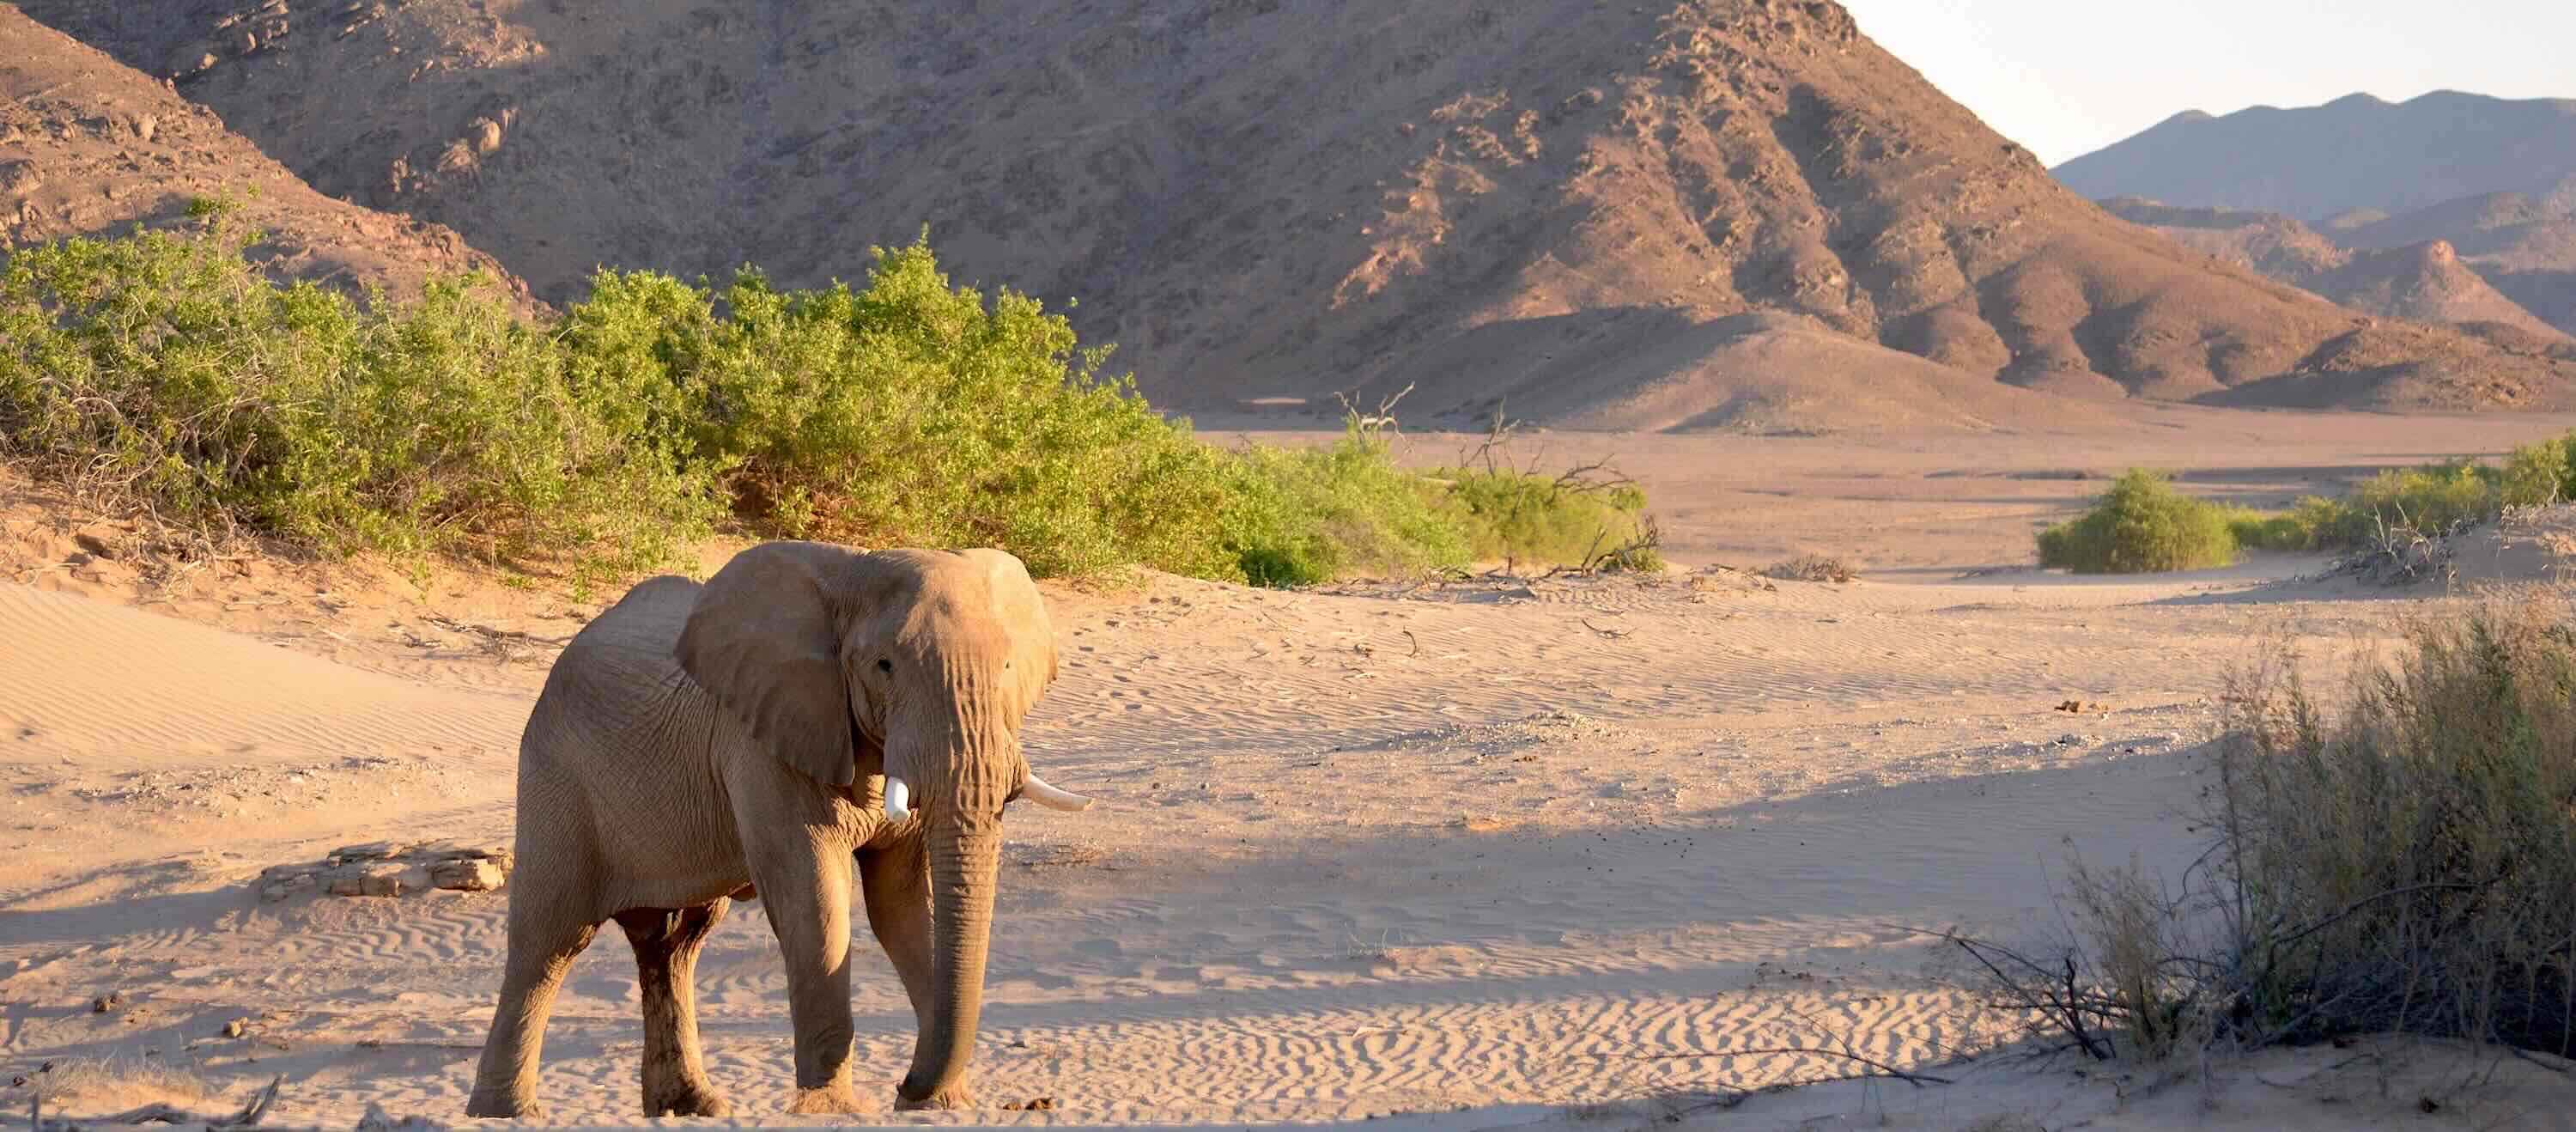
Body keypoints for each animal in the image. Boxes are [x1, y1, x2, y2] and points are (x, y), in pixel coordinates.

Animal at [463, 541, 1092, 1119]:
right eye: (884, 667)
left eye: (1007, 667)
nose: (906, 1086)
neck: (855, 571)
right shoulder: (761, 741)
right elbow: (815, 900)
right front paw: (833, 1110)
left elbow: (902, 905)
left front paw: (944, 1103)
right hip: (556, 776)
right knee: (549, 943)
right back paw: (505, 1115)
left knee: (675, 942)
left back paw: (691, 1108)